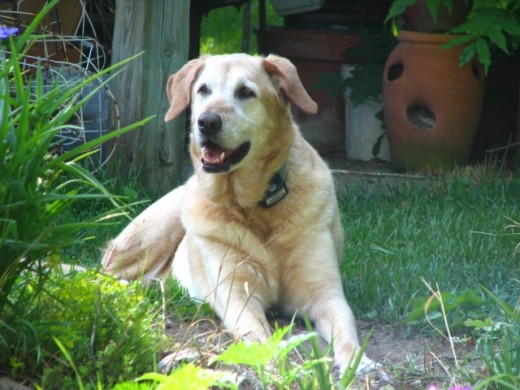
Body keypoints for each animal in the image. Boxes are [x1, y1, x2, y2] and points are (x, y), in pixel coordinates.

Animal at [101, 53, 372, 374]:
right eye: (203, 90)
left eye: (245, 92)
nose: (207, 122)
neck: (254, 203)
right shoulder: (237, 296)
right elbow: (260, 337)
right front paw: (274, 363)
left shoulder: (326, 294)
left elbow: (346, 335)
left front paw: (358, 361)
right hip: (151, 234)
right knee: (106, 275)